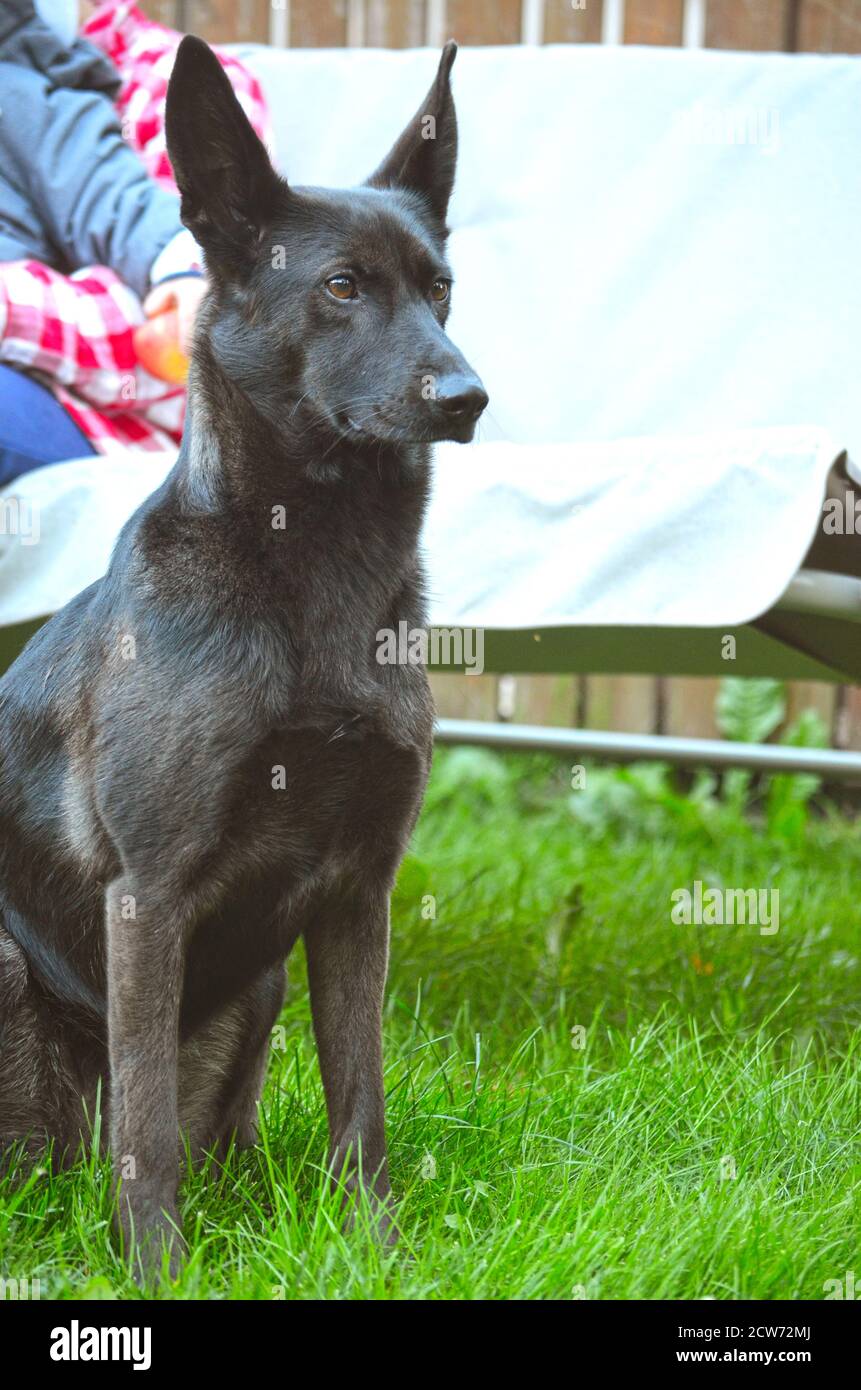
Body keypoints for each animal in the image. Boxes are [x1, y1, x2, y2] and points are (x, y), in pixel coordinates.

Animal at [0, 35, 484, 1273]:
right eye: (342, 286)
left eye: (440, 289)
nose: (466, 396)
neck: (312, 576)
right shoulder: (149, 897)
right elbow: (145, 1133)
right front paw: (157, 1272)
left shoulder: (360, 896)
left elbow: (362, 1104)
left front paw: (376, 1254)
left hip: (258, 988)